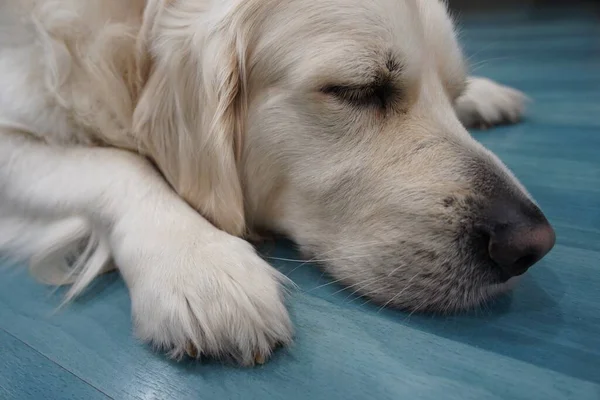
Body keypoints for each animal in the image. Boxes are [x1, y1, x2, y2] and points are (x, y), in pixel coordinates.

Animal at [0, 0, 556, 364]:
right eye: (358, 90)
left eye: (453, 91)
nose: (531, 245)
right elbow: (117, 162)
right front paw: (198, 262)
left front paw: (481, 94)